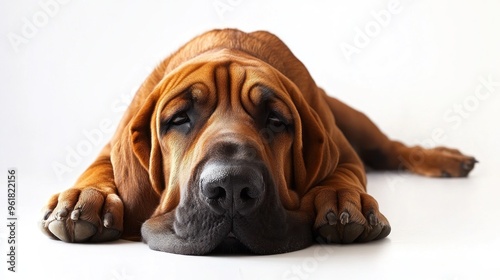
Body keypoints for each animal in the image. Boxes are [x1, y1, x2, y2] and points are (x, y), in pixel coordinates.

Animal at [39, 29, 476, 255]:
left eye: (276, 120)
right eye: (179, 120)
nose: (231, 187)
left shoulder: (343, 152)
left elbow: (343, 176)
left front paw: (342, 201)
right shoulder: (113, 145)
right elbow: (100, 167)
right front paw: (87, 198)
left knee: (393, 148)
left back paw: (443, 159)